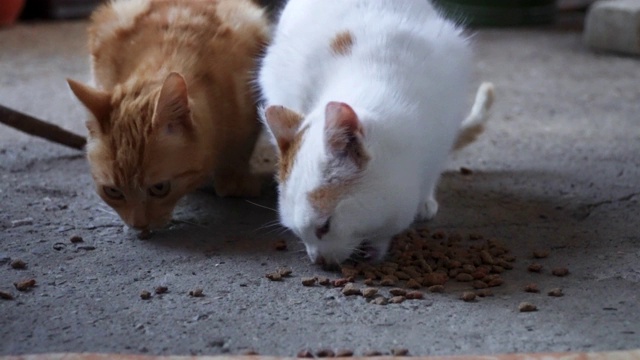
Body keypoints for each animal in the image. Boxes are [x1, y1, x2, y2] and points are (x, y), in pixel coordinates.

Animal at [258, 0, 492, 264]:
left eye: (324, 227)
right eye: (295, 231)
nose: (317, 260)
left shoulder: (445, 127)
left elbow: (433, 171)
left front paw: (423, 202)